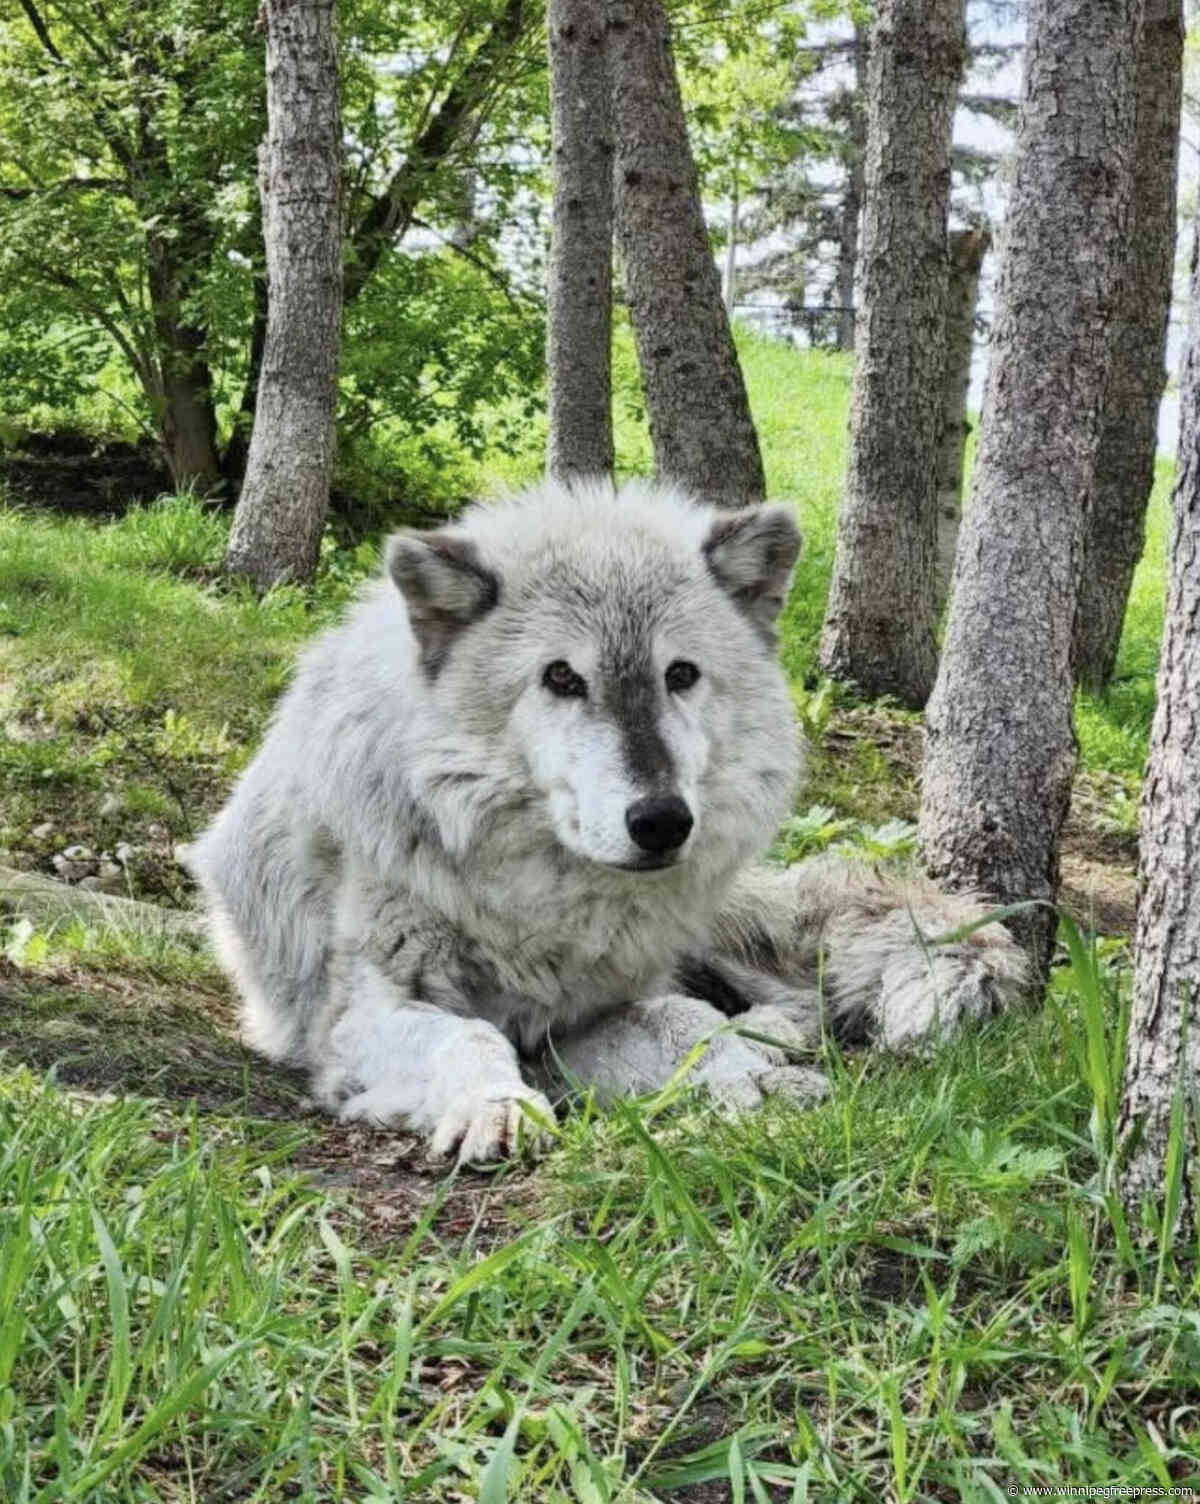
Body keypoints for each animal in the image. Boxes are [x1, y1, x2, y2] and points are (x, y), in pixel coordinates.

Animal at [187, 481, 1022, 1161]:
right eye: (561, 677)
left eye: (680, 675)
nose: (662, 822)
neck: (543, 904)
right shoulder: (363, 1016)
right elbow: (468, 1033)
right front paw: (497, 1105)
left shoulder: (588, 1016)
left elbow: (677, 1022)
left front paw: (747, 1078)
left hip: (716, 930)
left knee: (773, 996)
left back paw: (771, 1038)